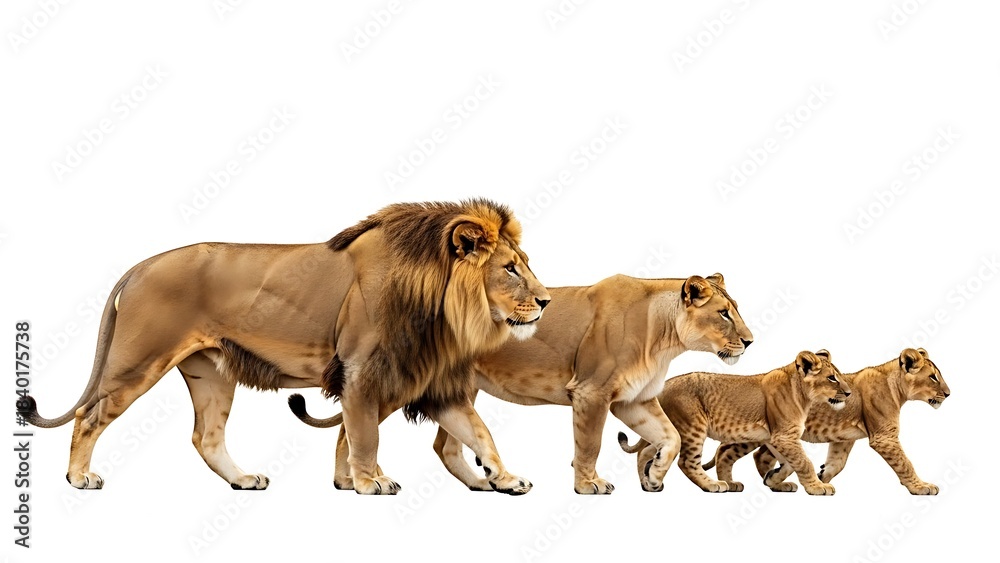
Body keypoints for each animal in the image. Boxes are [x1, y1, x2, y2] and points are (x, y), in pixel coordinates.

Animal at [17, 199, 551, 495]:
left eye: (524, 262)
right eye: (509, 268)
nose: (546, 301)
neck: (441, 307)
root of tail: (141, 264)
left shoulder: (427, 383)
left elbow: (479, 433)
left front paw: (505, 478)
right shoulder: (362, 372)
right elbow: (365, 436)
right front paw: (371, 482)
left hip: (211, 373)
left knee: (206, 437)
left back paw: (242, 479)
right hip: (138, 363)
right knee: (89, 416)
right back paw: (79, 478)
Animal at [290, 273, 754, 494]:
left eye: (735, 309)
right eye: (724, 313)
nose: (750, 341)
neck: (664, 337)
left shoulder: (632, 400)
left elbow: (671, 437)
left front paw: (655, 475)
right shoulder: (592, 392)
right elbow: (590, 444)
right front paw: (588, 484)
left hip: (460, 386)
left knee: (447, 446)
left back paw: (487, 481)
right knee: (353, 425)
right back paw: (353, 481)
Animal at [619, 350, 850, 495]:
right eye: (832, 378)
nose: (849, 393)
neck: (803, 395)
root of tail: (664, 385)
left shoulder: (777, 437)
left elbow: (788, 463)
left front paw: (774, 480)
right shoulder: (784, 436)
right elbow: (803, 462)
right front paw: (817, 487)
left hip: (671, 430)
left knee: (647, 452)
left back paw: (649, 484)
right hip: (692, 427)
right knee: (686, 462)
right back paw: (713, 485)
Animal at [705, 348, 949, 495]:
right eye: (933, 377)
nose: (948, 394)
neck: (897, 388)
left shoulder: (844, 437)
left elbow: (837, 462)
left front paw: (821, 477)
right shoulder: (884, 437)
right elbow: (905, 463)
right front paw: (921, 487)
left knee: (755, 455)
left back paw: (775, 482)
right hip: (750, 430)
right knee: (727, 452)